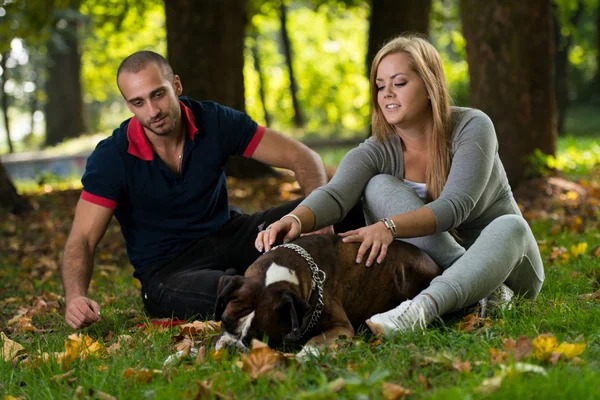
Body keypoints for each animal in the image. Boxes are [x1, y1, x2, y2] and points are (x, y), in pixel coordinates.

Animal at [213, 234, 438, 354]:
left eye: (259, 338)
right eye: (225, 322)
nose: (232, 348)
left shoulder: (341, 327)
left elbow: (315, 342)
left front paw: (303, 357)